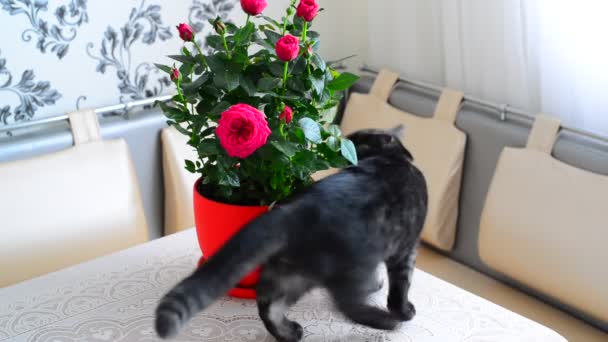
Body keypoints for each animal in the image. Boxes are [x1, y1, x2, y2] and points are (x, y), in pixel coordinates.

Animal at [156, 127, 428, 340]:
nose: (344, 148)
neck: (389, 158)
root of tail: (294, 209)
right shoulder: (407, 249)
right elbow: (401, 285)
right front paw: (403, 310)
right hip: (351, 267)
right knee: (349, 305)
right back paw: (386, 321)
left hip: (289, 272)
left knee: (268, 306)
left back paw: (289, 333)